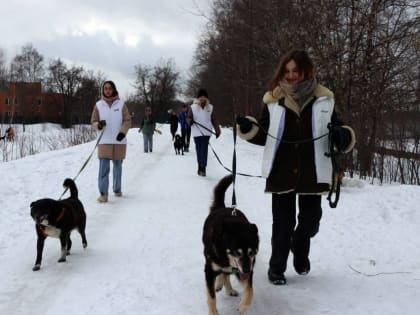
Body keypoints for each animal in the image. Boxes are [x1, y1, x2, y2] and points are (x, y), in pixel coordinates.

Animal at [203, 175, 260, 315]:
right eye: (237, 252)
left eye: (252, 252)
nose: (247, 270)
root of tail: (222, 207)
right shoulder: (209, 270)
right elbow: (211, 297)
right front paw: (213, 312)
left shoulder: (245, 268)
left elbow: (250, 291)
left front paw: (242, 306)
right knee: (223, 272)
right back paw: (220, 284)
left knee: (225, 273)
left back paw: (228, 289)